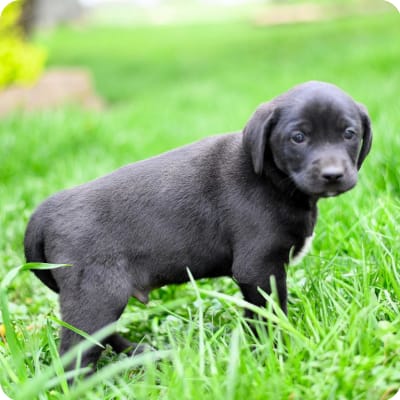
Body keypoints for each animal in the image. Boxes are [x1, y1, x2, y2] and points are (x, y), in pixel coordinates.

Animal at [24, 80, 372, 368]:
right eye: (298, 138)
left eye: (349, 133)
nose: (332, 175)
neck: (273, 179)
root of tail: (47, 210)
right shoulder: (259, 268)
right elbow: (269, 314)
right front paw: (275, 352)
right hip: (96, 296)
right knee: (74, 357)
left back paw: (138, 352)